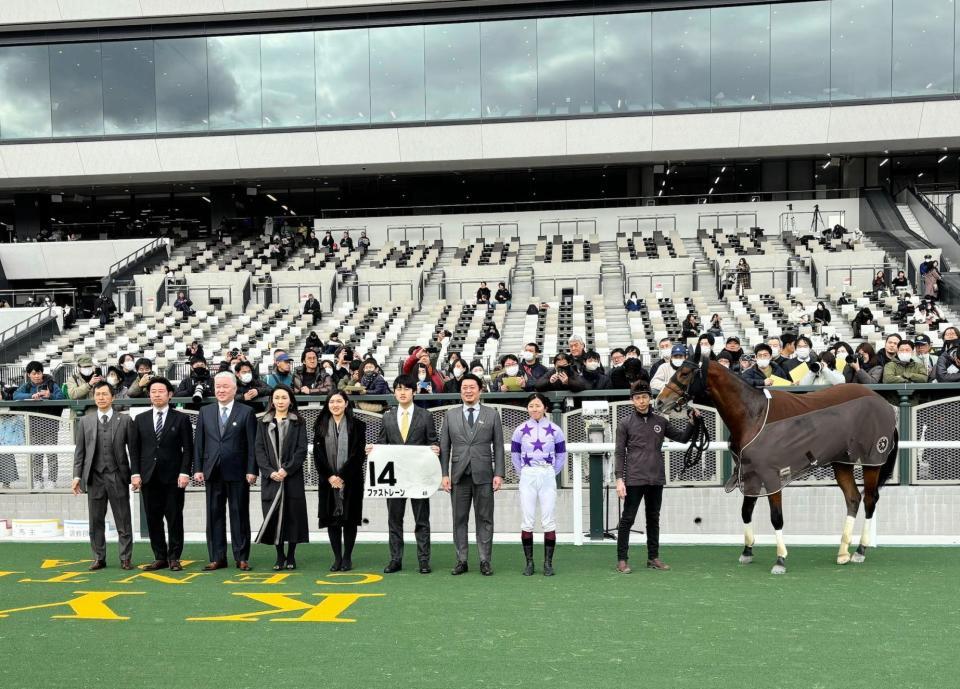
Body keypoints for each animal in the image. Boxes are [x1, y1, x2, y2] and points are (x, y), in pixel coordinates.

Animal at [656, 358, 896, 572]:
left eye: (684, 373)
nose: (659, 401)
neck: (754, 415)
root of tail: (882, 402)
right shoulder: (750, 473)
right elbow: (745, 511)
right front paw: (747, 551)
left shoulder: (772, 476)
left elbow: (776, 517)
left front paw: (780, 559)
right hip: (841, 462)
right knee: (853, 498)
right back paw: (843, 552)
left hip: (872, 460)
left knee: (870, 500)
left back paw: (860, 550)